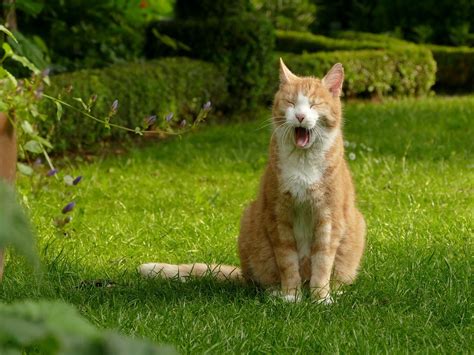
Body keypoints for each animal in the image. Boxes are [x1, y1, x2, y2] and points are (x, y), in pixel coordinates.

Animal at [139, 59, 364, 304]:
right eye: (291, 103)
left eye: (314, 105)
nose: (300, 116)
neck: (303, 163)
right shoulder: (278, 215)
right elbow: (287, 261)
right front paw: (291, 296)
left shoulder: (329, 217)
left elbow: (322, 262)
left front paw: (321, 298)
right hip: (250, 220)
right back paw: (277, 291)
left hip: (357, 223)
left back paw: (333, 290)